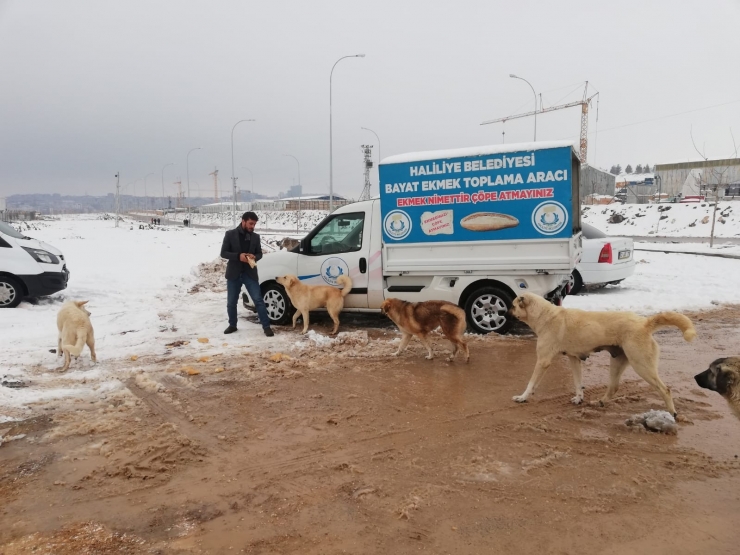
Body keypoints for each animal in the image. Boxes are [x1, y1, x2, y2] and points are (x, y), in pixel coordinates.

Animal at [508, 292, 692, 416]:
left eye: (513, 305)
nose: (505, 313)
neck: (544, 315)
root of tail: (645, 323)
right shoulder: (574, 359)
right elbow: (578, 383)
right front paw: (579, 398)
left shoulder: (543, 360)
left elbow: (531, 383)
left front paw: (523, 397)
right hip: (618, 362)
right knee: (614, 387)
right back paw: (601, 401)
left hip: (642, 365)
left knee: (665, 389)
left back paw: (672, 413)